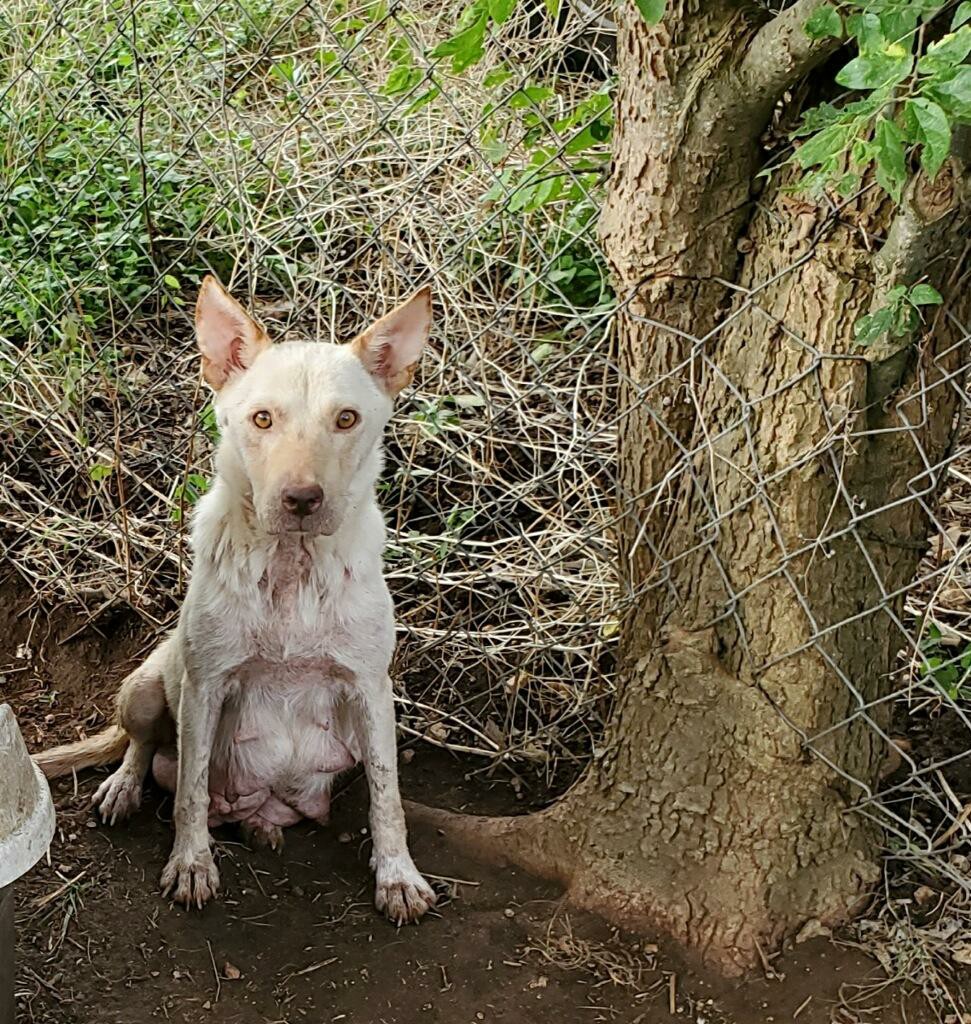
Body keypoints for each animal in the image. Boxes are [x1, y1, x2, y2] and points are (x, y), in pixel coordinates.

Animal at [34, 276, 437, 924]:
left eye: (347, 419)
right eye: (263, 418)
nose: (301, 499)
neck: (292, 569)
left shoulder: (372, 690)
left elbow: (388, 796)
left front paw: (397, 876)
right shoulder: (206, 686)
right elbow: (192, 792)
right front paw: (191, 864)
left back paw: (260, 826)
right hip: (147, 684)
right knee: (141, 746)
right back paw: (124, 787)